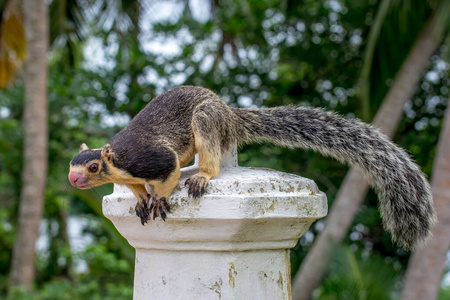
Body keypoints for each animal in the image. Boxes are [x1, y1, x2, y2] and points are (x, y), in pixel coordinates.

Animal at [67, 84, 436, 248]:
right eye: (71, 163)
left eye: (94, 167)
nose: (72, 179)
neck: (120, 162)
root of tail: (231, 115)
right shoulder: (132, 175)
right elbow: (135, 191)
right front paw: (142, 202)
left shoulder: (151, 158)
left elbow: (168, 172)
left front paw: (157, 199)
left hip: (207, 119)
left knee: (209, 153)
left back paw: (203, 175)